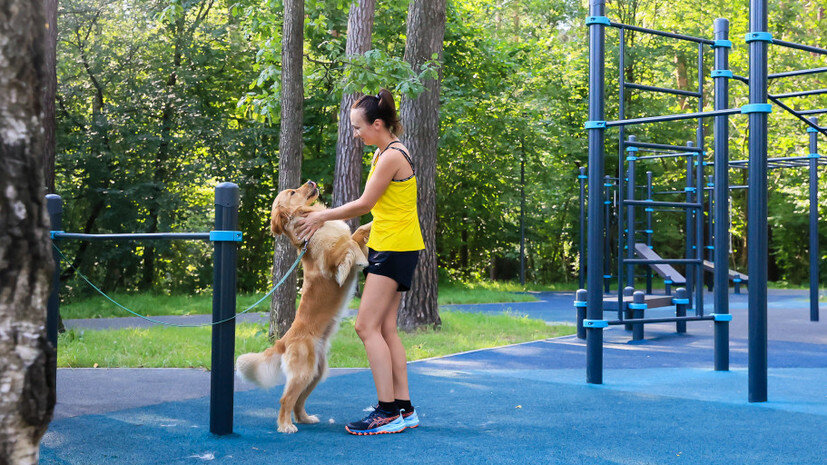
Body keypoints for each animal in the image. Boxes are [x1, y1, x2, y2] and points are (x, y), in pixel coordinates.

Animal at [236, 180, 372, 432]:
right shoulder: (330, 262)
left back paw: (304, 418)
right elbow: (347, 247)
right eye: (292, 192)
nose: (311, 182)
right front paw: (358, 258)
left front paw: (371, 225)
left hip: (315, 372)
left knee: (298, 401)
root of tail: (283, 340)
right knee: (285, 399)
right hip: (302, 373)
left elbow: (356, 235)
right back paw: (286, 426)